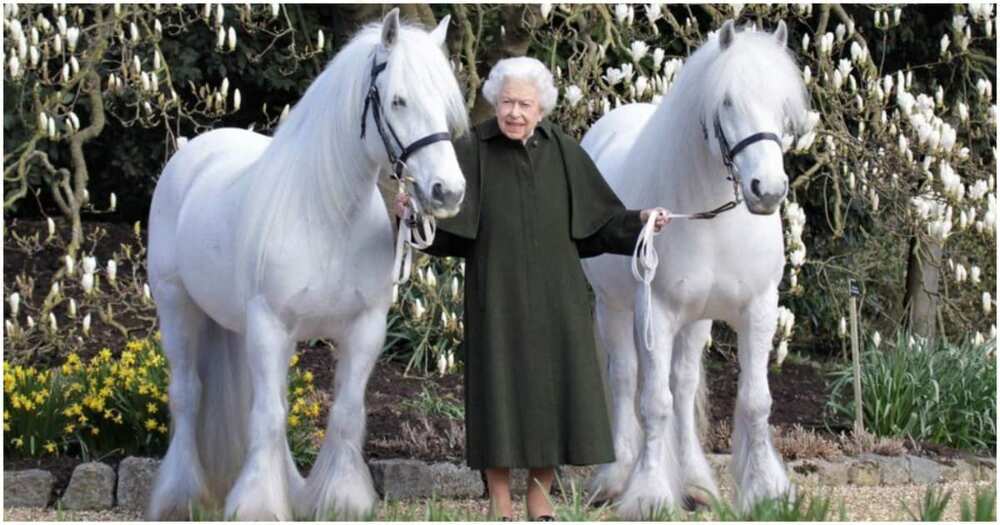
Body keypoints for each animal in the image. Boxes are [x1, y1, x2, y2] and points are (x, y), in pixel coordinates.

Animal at [145, 12, 468, 520]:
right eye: (398, 100)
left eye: (444, 103)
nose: (448, 191)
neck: (327, 216)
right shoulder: (270, 325)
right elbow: (268, 416)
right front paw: (257, 506)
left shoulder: (364, 328)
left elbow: (345, 413)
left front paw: (340, 499)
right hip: (177, 308)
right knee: (187, 396)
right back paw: (181, 497)